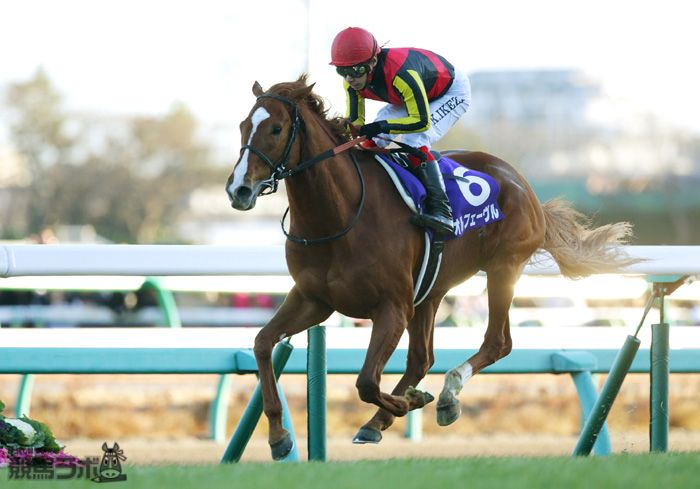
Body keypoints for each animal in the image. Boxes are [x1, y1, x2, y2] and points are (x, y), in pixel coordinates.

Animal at [225, 75, 637, 460]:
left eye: (276, 128)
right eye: (243, 125)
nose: (238, 190)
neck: (339, 216)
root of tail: (523, 184)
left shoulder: (392, 307)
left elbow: (366, 382)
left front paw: (412, 401)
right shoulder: (314, 300)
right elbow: (263, 344)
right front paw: (279, 436)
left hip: (503, 267)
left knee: (496, 342)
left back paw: (446, 395)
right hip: (432, 290)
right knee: (423, 358)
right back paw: (383, 419)